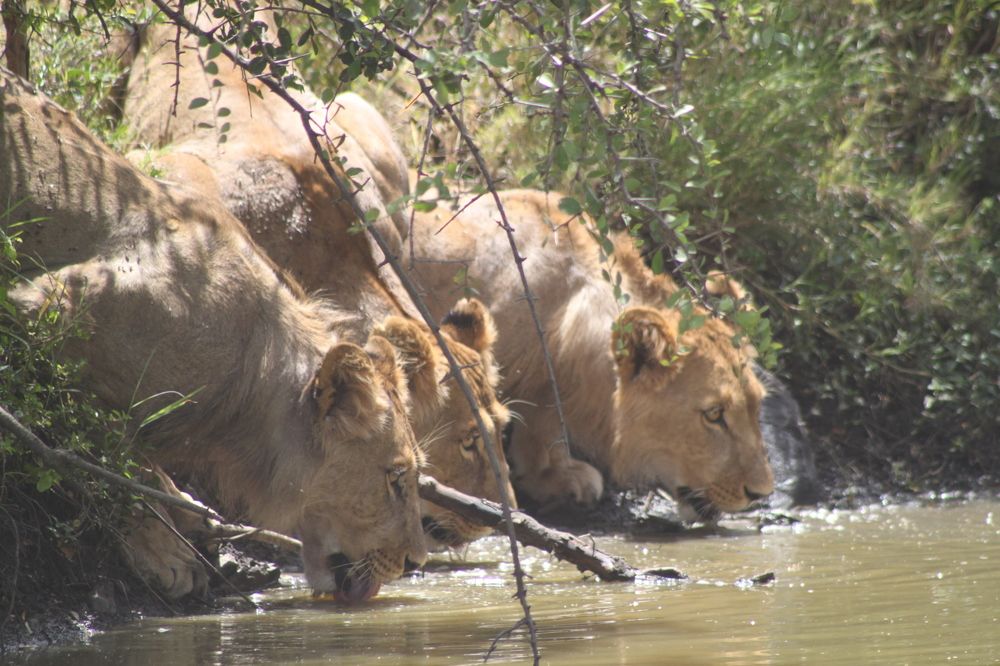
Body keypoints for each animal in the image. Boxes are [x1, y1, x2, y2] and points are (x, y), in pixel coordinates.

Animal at [1, 68, 427, 601]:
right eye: (396, 478)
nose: (415, 561)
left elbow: (139, 456)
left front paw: (187, 511)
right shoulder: (51, 308)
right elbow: (108, 451)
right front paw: (167, 552)